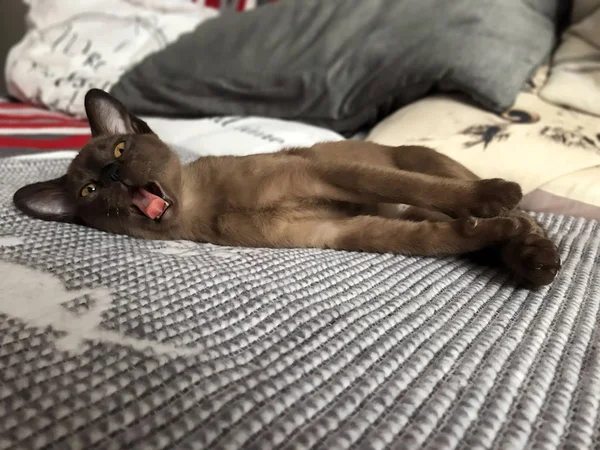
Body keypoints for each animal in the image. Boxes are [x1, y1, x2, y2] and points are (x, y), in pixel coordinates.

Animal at [11, 89, 560, 288]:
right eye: (88, 193)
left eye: (121, 150)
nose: (111, 177)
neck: (206, 204)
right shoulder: (340, 232)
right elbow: (447, 239)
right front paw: (490, 229)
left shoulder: (327, 174)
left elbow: (422, 190)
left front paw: (498, 198)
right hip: (407, 210)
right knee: (463, 224)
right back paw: (529, 259)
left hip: (422, 160)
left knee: (481, 199)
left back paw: (529, 243)